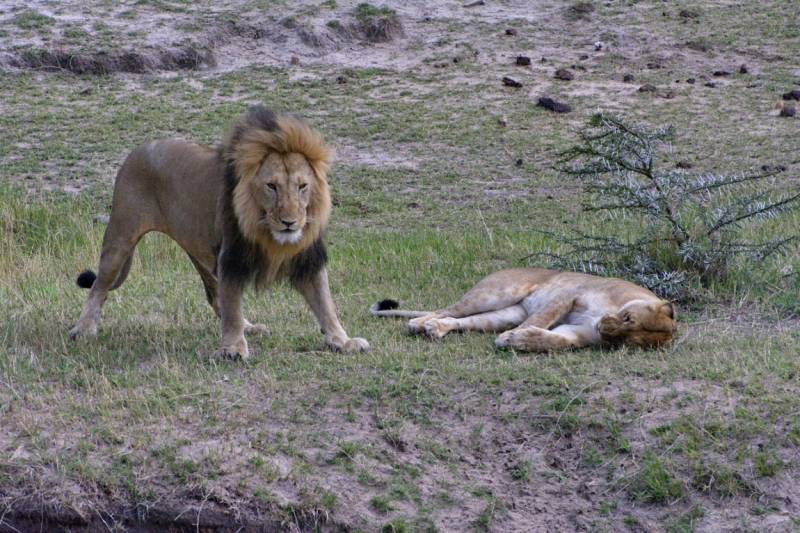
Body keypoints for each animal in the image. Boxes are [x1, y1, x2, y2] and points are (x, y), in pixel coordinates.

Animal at [70, 106, 370, 358]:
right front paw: (233, 348)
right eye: (272, 186)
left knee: (215, 297)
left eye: (302, 186)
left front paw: (343, 340)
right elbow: (233, 306)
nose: (289, 222)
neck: (268, 231)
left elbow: (325, 304)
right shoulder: (232, 257)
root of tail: (137, 149)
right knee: (98, 287)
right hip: (121, 235)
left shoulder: (307, 259)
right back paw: (84, 329)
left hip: (200, 252)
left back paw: (251, 327)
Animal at [368, 268, 676, 352]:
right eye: (628, 318)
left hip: (505, 314)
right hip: (495, 293)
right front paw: (510, 339)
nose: (603, 329)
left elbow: (555, 340)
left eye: (626, 340)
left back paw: (435, 330)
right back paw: (419, 323)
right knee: (447, 309)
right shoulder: (570, 295)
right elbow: (541, 319)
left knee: (462, 320)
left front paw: (519, 341)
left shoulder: (577, 332)